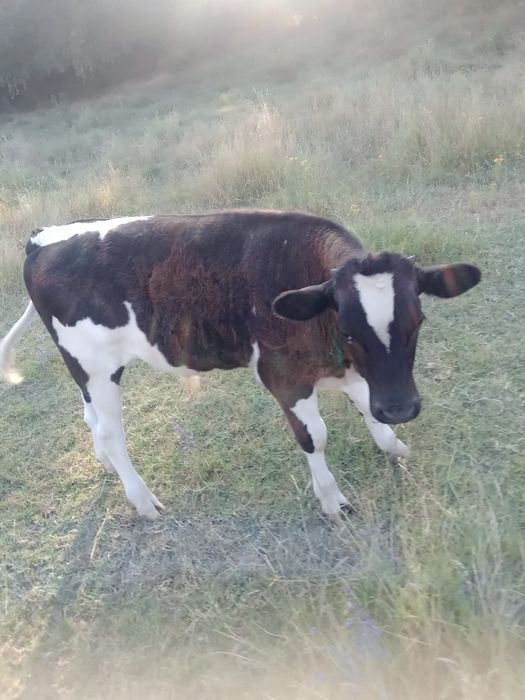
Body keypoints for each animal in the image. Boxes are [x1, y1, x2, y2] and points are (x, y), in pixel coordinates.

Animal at [0, 211, 481, 520]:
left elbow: (365, 405)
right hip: (95, 366)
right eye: (348, 330)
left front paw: (393, 445)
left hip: (85, 370)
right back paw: (142, 501)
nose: (401, 409)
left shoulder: (356, 373)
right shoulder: (284, 374)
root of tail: (44, 236)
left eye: (418, 321)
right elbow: (315, 437)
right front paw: (332, 500)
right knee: (111, 433)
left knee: (91, 419)